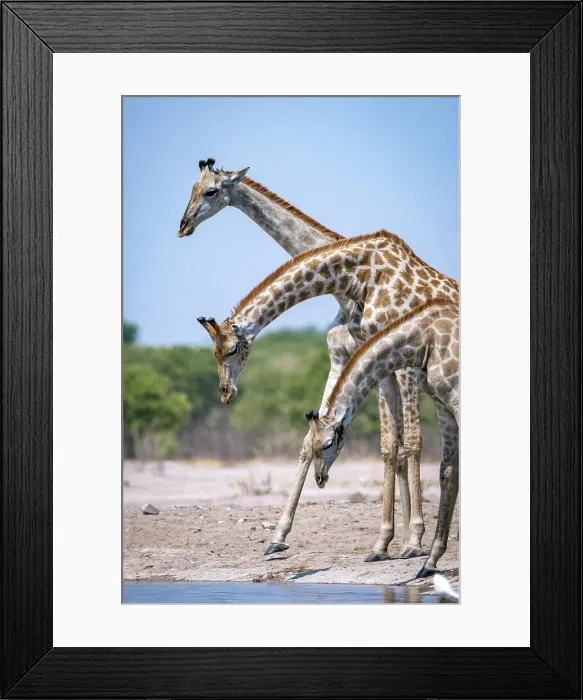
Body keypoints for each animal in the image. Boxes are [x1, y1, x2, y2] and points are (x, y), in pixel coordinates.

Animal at [179, 159, 448, 559]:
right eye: (192, 189)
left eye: (211, 191)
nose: (183, 226)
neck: (348, 284)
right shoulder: (344, 358)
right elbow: (331, 440)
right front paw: (278, 536)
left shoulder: (396, 365)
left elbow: (407, 444)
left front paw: (411, 540)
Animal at [306, 298, 459, 576]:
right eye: (311, 445)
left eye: (329, 443)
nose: (320, 478)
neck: (424, 338)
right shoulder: (444, 406)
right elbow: (448, 473)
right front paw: (429, 561)